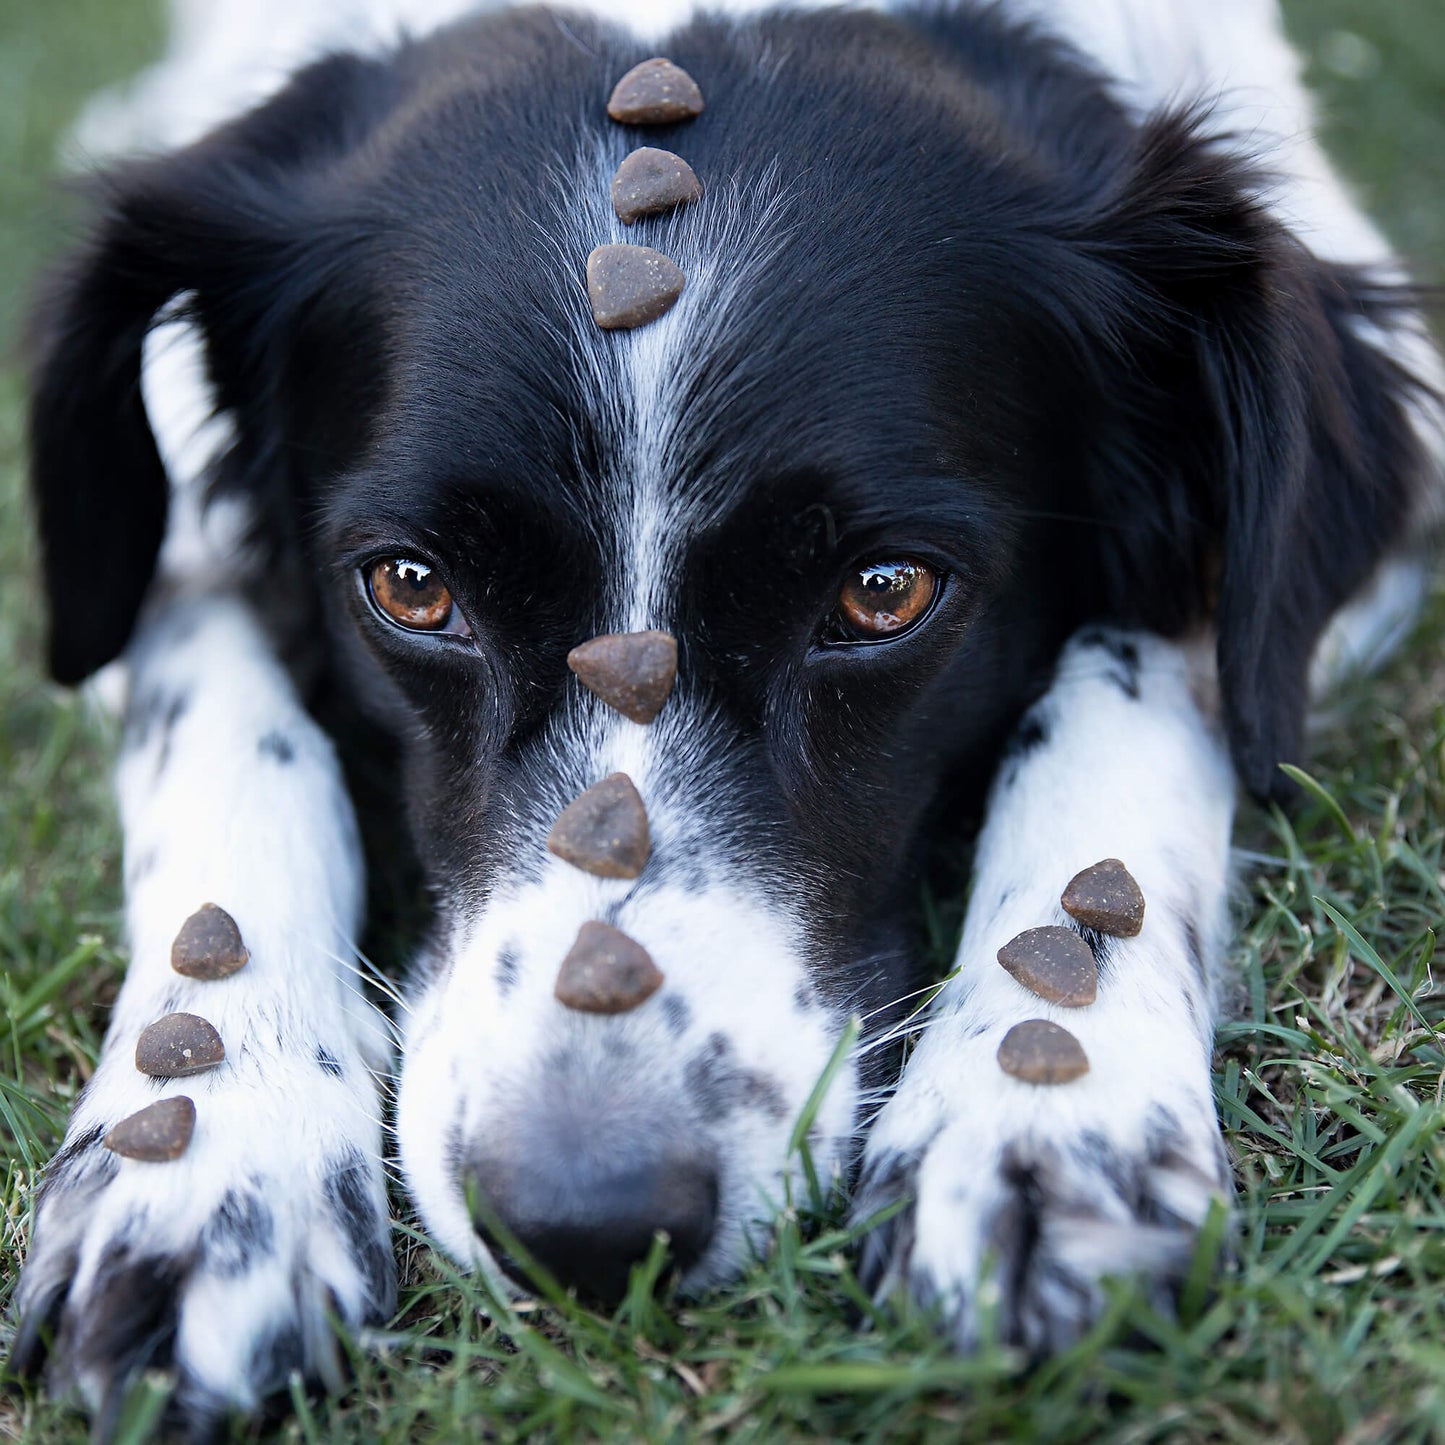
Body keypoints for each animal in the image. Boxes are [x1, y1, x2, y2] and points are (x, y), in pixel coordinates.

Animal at [14, 0, 1445, 1427]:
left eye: (883, 590)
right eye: (411, 586)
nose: (584, 1222)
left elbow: (1130, 693)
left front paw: (1042, 1106)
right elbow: (227, 742)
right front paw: (204, 1153)